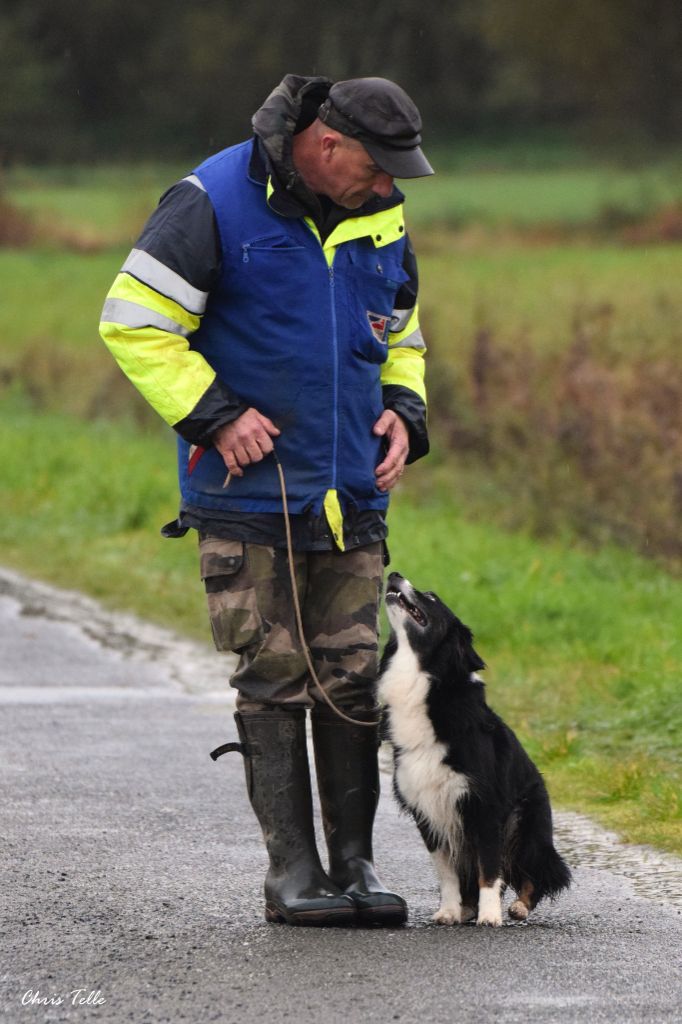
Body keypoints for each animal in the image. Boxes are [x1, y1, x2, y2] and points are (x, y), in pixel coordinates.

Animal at [376, 573, 569, 925]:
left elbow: (490, 871)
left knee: (539, 871)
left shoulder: (485, 808)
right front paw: (449, 911)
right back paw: (467, 907)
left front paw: (490, 916)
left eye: (431, 597)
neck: (423, 682)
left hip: (527, 827)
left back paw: (519, 906)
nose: (395, 574)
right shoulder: (428, 811)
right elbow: (447, 873)